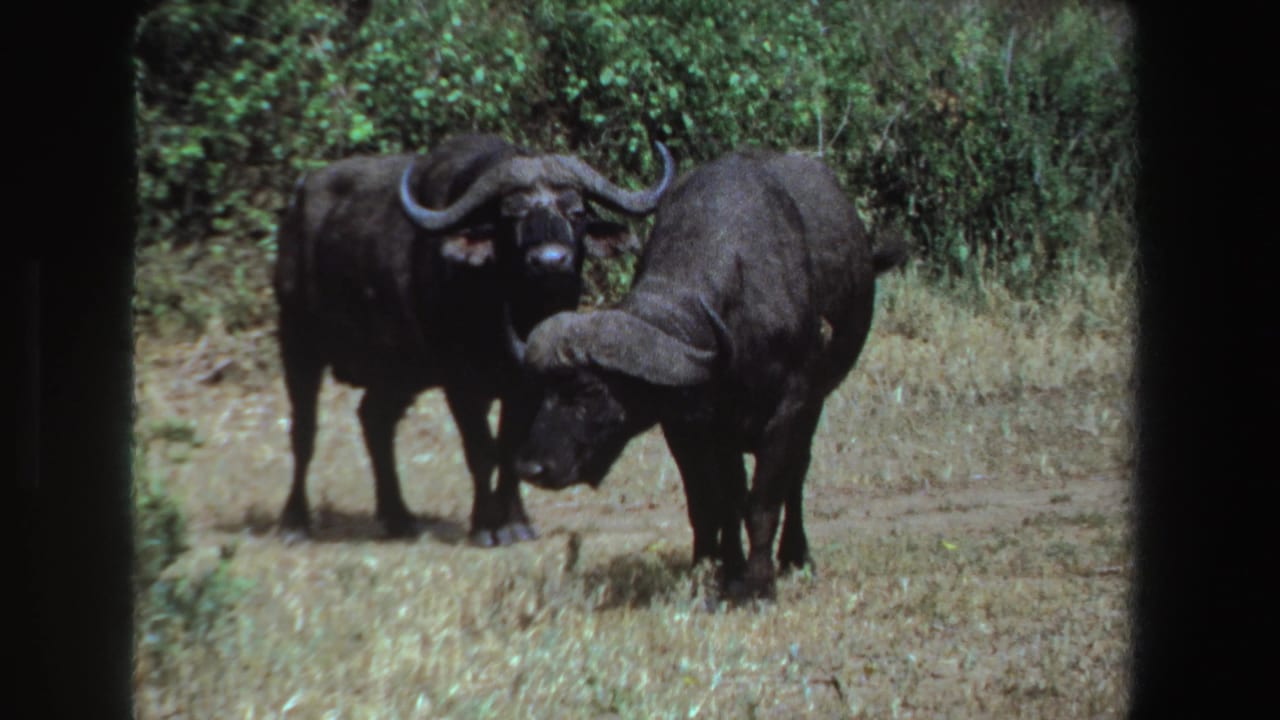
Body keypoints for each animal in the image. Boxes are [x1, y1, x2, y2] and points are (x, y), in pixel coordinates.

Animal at [273, 134, 674, 545]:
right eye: (511, 215)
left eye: (575, 211)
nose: (550, 260)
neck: (511, 308)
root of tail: (299, 200)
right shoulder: (460, 382)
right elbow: (481, 451)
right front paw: (484, 525)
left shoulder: (528, 383)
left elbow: (512, 448)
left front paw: (515, 522)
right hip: (297, 341)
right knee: (304, 431)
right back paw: (295, 522)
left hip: (400, 372)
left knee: (374, 419)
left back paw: (399, 517)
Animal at [510, 151, 906, 597]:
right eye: (542, 390)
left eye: (589, 390)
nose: (531, 468)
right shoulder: (691, 426)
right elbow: (714, 503)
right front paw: (718, 569)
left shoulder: (791, 410)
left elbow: (763, 501)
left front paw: (758, 584)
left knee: (797, 475)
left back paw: (795, 555)